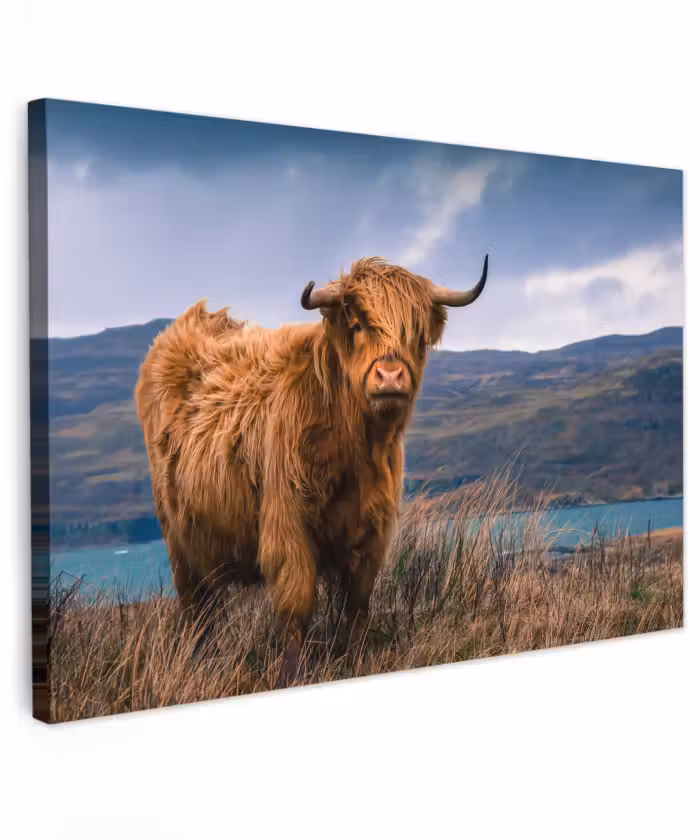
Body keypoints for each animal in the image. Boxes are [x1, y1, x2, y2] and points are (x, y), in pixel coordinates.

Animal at [135, 254, 488, 683]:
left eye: (416, 333)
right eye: (357, 324)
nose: (390, 376)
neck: (355, 447)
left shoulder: (374, 530)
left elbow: (357, 604)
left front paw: (356, 659)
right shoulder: (288, 525)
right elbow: (296, 603)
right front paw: (292, 673)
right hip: (178, 540)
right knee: (197, 610)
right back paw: (200, 662)